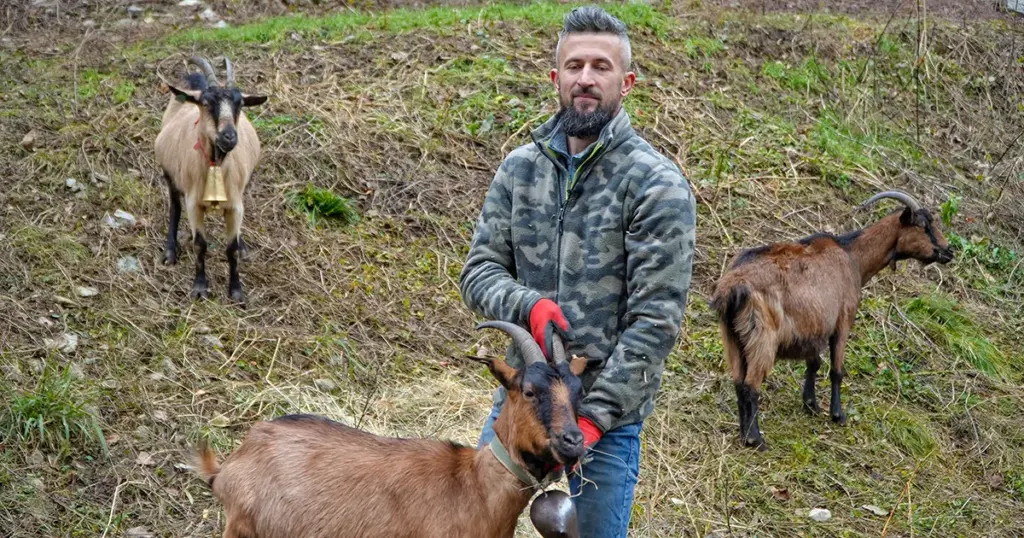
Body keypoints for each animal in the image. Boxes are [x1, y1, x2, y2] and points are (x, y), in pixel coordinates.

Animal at [155, 55, 267, 304]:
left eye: (240, 105)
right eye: (206, 103)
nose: (229, 137)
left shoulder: (235, 205)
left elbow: (231, 248)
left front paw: (236, 291)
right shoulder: (193, 204)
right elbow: (200, 245)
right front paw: (200, 288)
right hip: (170, 174)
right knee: (174, 206)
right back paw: (170, 252)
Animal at [710, 190, 954, 450]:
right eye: (924, 225)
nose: (949, 251)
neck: (852, 255)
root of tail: (733, 287)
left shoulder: (814, 326)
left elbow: (814, 363)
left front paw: (811, 404)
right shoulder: (843, 320)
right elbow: (836, 370)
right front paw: (838, 414)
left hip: (732, 337)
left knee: (738, 382)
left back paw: (744, 435)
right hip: (762, 338)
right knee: (751, 385)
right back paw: (756, 439)